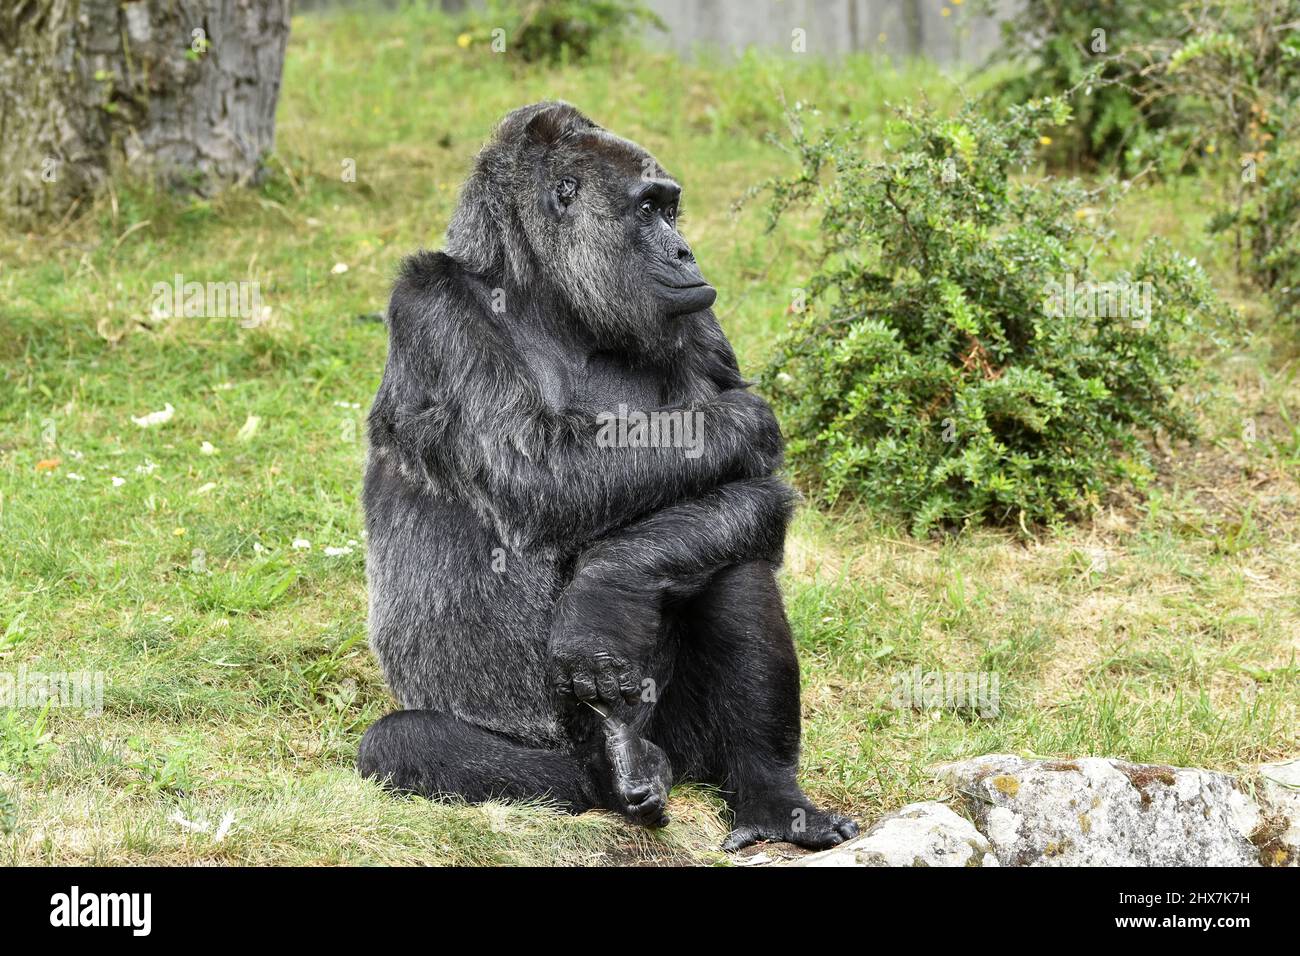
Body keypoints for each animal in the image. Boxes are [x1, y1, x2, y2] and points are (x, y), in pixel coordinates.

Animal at [361, 100, 857, 853]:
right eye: (649, 208)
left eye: (672, 210)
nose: (685, 252)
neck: (548, 299)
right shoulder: (433, 306)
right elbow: (539, 471)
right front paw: (744, 420)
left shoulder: (698, 318)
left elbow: (751, 495)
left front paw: (605, 591)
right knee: (401, 743)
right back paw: (612, 769)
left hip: (685, 744)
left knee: (734, 558)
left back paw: (769, 796)